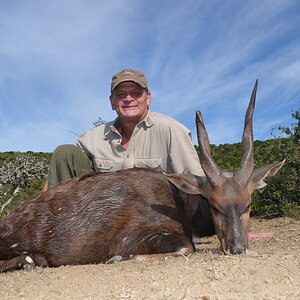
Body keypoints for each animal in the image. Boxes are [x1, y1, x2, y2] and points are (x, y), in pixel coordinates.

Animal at [0, 80, 284, 272]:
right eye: (214, 206)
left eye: (247, 205)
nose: (237, 248)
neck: (179, 202)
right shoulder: (142, 237)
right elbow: (186, 248)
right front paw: (118, 258)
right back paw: (31, 261)